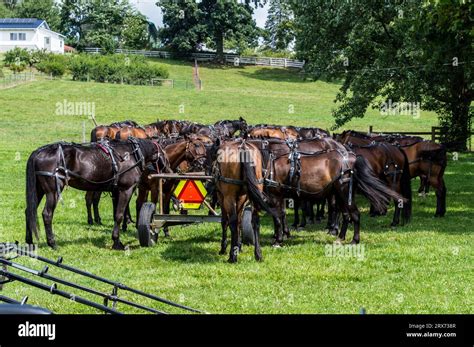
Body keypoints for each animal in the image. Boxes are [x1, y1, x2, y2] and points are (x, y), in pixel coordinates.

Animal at [25, 139, 164, 250]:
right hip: (53, 191)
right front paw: (117, 242)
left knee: (29, 211)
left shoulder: (116, 191)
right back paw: (52, 243)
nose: (164, 168)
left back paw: (29, 241)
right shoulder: (126, 190)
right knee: (47, 214)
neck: (131, 154)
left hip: (38, 190)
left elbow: (116, 214)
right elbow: (119, 215)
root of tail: (39, 152)